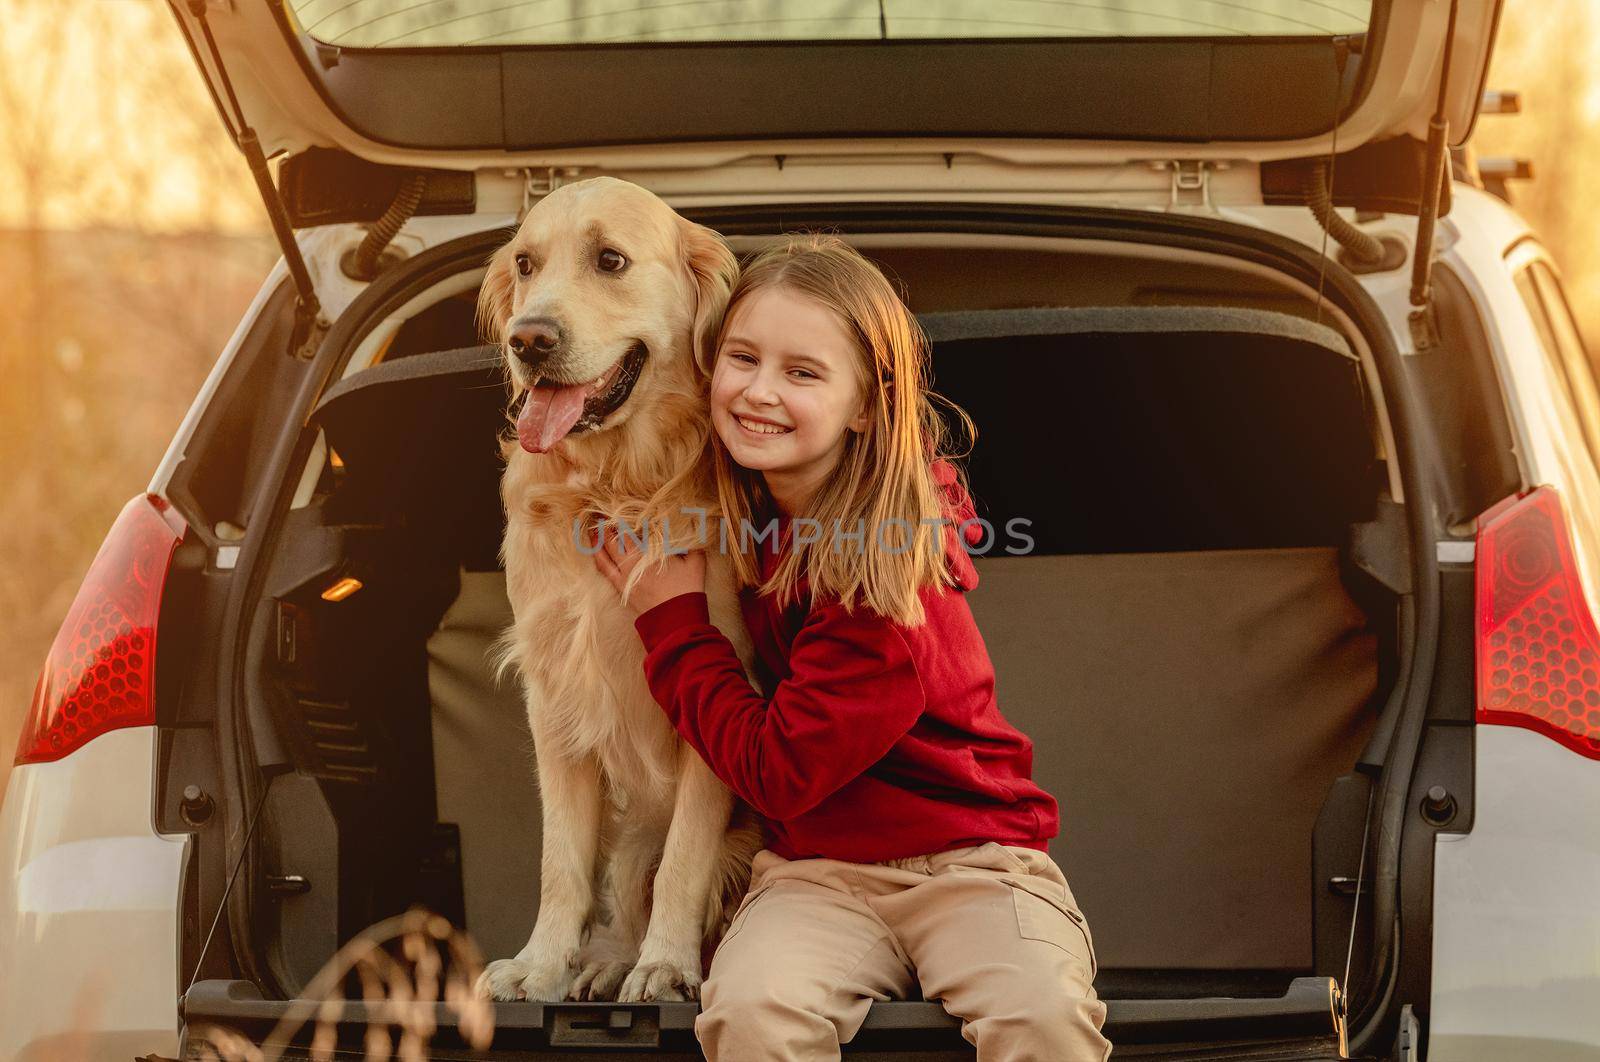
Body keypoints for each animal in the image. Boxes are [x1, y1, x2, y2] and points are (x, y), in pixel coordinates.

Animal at [467, 175, 761, 1004]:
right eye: (526, 263)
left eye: (610, 260)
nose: (528, 340)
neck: (615, 484)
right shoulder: (555, 690)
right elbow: (561, 862)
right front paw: (541, 965)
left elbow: (687, 859)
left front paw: (665, 965)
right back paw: (605, 962)